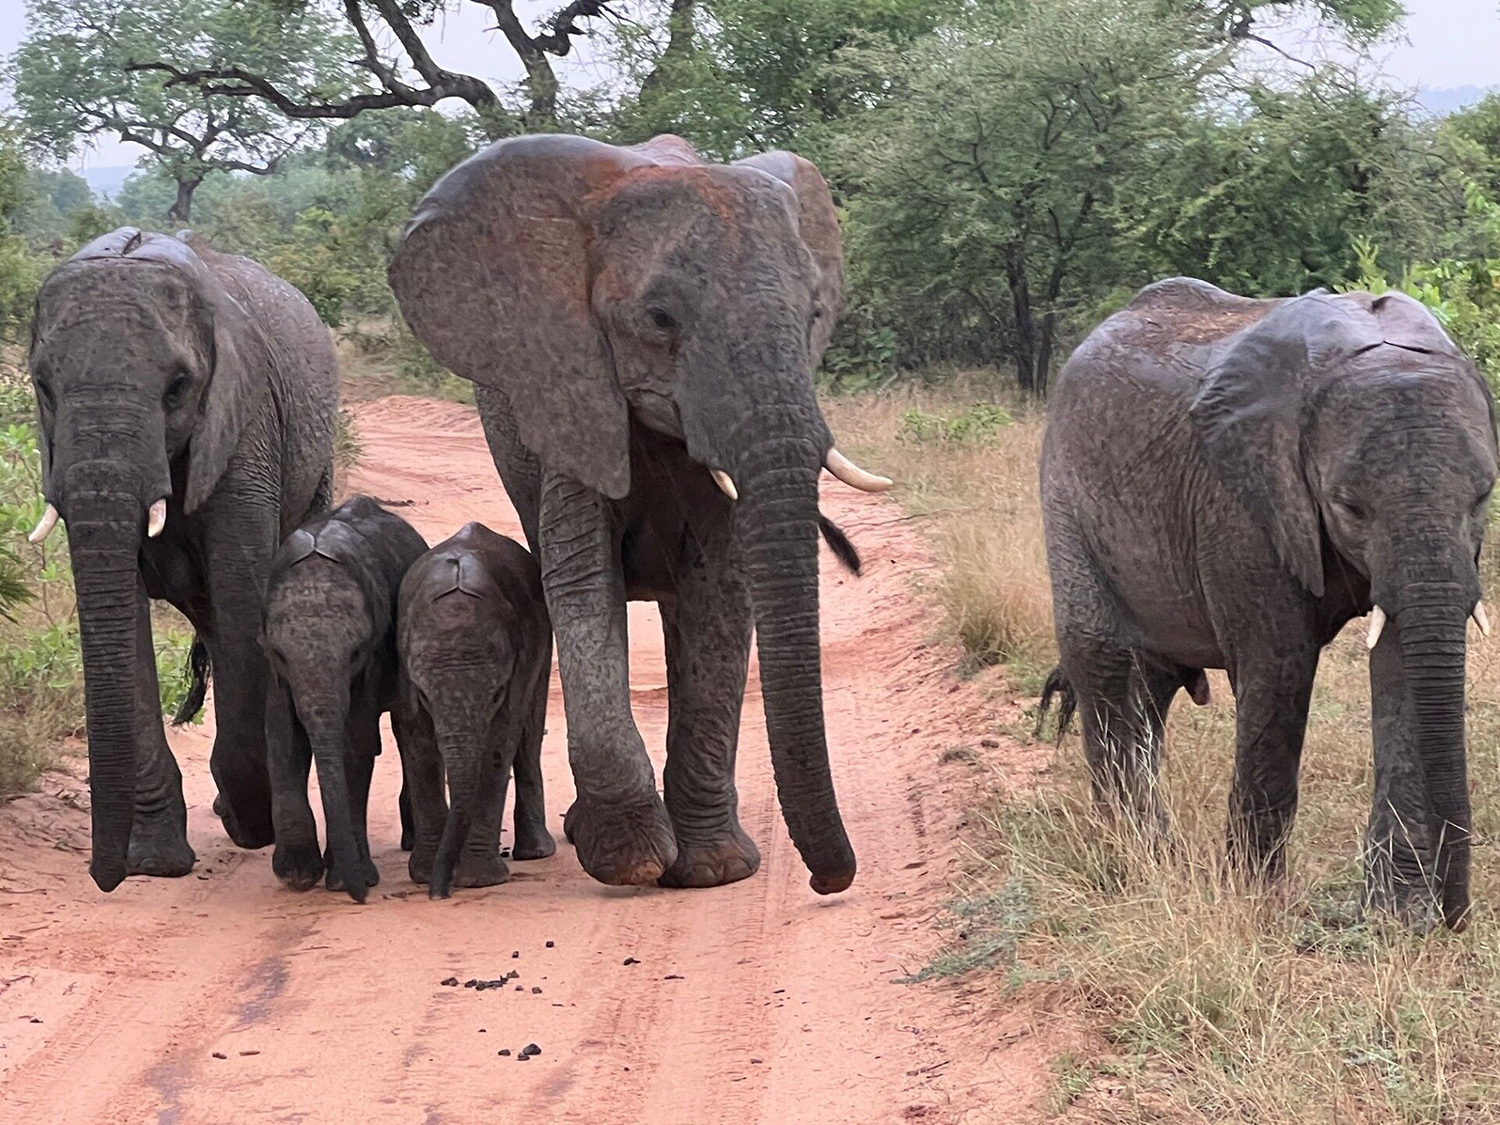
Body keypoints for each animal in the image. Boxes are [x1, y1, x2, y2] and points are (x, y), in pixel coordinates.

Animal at [26, 227, 338, 891]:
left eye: (177, 388)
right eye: (43, 388)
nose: (105, 879)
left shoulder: (246, 425)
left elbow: (243, 595)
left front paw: (251, 825)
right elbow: (121, 613)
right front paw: (155, 863)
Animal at [260, 495, 428, 902]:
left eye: (355, 654)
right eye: (280, 654)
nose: (362, 897)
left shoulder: (375, 653)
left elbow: (355, 741)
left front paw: (343, 879)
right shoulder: (275, 671)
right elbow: (283, 737)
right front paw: (298, 875)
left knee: (402, 729)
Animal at [396, 521, 555, 899]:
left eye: (496, 694)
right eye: (424, 695)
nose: (439, 894)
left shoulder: (519, 661)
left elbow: (499, 743)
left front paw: (478, 880)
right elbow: (419, 743)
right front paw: (425, 874)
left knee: (529, 737)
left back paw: (535, 852)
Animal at [1040, 277, 1497, 930]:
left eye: (1482, 496)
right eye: (1350, 507)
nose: (1459, 915)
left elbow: (1400, 664)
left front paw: (1398, 922)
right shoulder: (1240, 507)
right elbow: (1280, 667)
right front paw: (1257, 904)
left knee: (1148, 686)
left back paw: (1161, 856)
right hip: (1066, 490)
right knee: (1100, 658)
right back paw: (1133, 861)